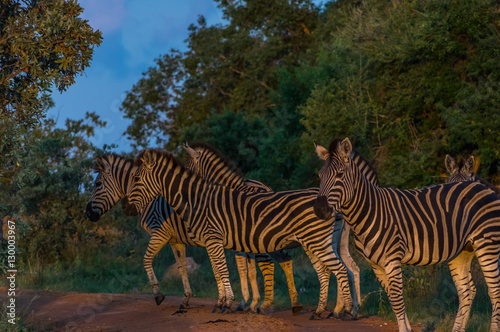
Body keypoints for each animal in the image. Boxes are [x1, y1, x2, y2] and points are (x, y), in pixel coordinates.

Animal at [123, 148, 360, 320]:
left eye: (136, 179)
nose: (127, 208)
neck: (199, 200)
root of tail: (331, 204)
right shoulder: (221, 242)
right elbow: (225, 271)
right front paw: (229, 303)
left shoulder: (219, 240)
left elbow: (229, 271)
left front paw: (231, 303)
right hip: (317, 242)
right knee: (333, 270)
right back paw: (328, 310)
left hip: (316, 242)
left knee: (338, 269)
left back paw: (345, 311)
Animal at [314, 136, 498, 330]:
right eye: (320, 176)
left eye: (339, 175)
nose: (319, 209)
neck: (371, 211)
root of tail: (482, 187)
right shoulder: (376, 264)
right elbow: (392, 297)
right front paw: (408, 327)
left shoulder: (392, 259)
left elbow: (396, 299)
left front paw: (404, 328)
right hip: (462, 251)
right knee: (467, 291)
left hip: (487, 246)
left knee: (494, 291)